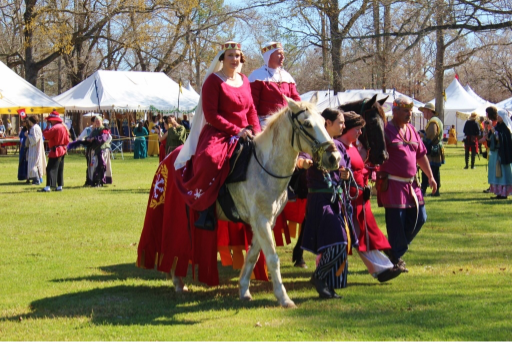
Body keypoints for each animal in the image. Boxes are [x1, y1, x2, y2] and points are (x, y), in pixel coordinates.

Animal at [172, 95, 340, 308]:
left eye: (324, 121)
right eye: (308, 124)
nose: (334, 158)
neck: (264, 167)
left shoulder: (266, 221)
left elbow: (253, 254)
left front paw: (244, 289)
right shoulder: (261, 221)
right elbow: (272, 258)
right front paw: (283, 297)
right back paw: (177, 281)